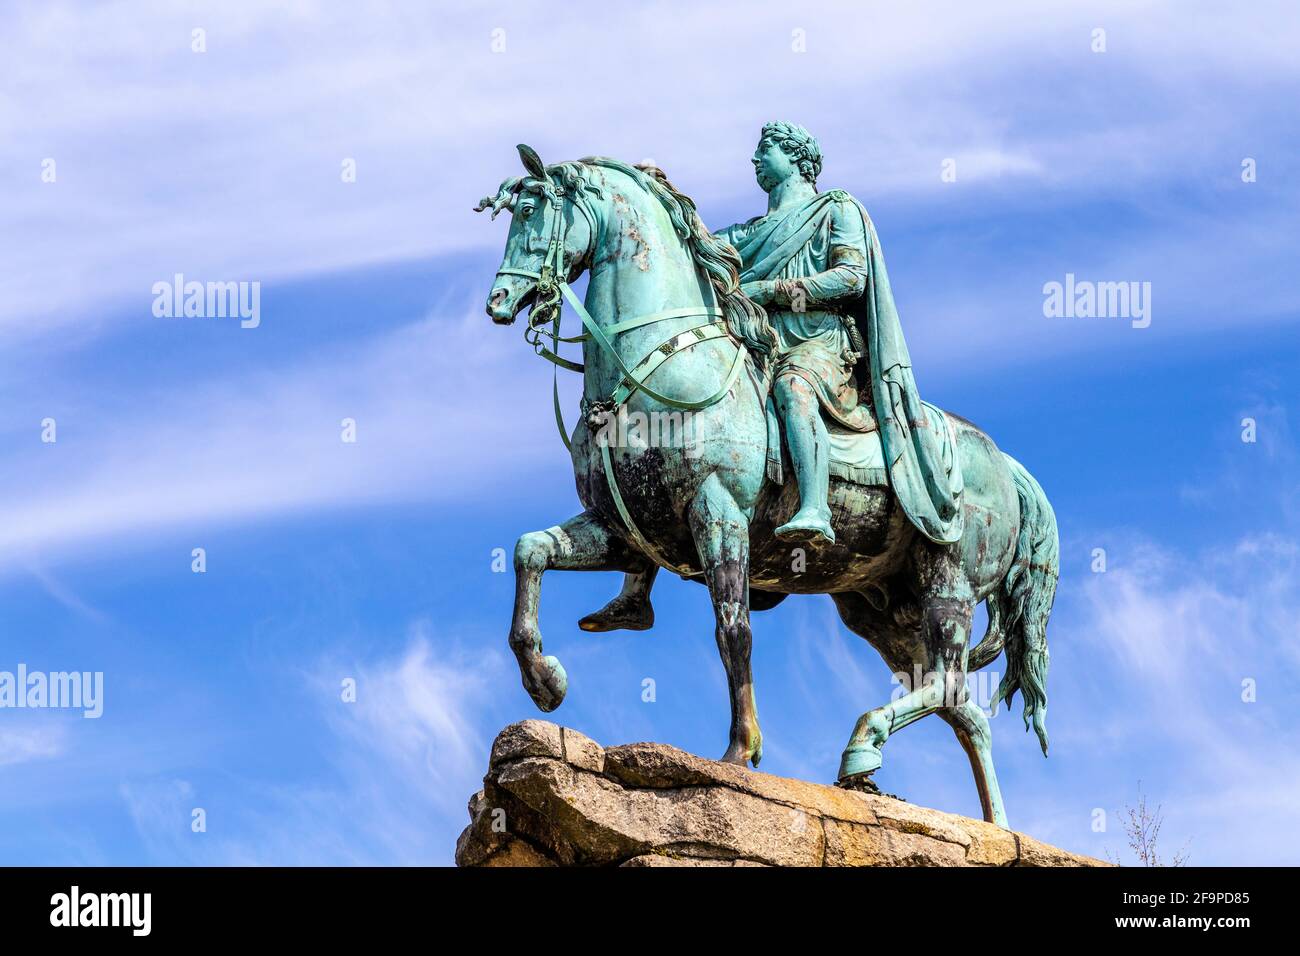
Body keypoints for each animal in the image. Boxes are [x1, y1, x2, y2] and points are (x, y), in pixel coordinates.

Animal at [478, 145, 1055, 827]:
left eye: (533, 211)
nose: (500, 300)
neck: (661, 364)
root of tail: (1006, 463)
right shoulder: (621, 529)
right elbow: (529, 550)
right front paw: (546, 679)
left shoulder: (718, 513)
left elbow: (733, 631)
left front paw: (739, 750)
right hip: (878, 605)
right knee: (959, 704)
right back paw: (987, 823)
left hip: (949, 579)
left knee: (946, 683)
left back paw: (863, 747)